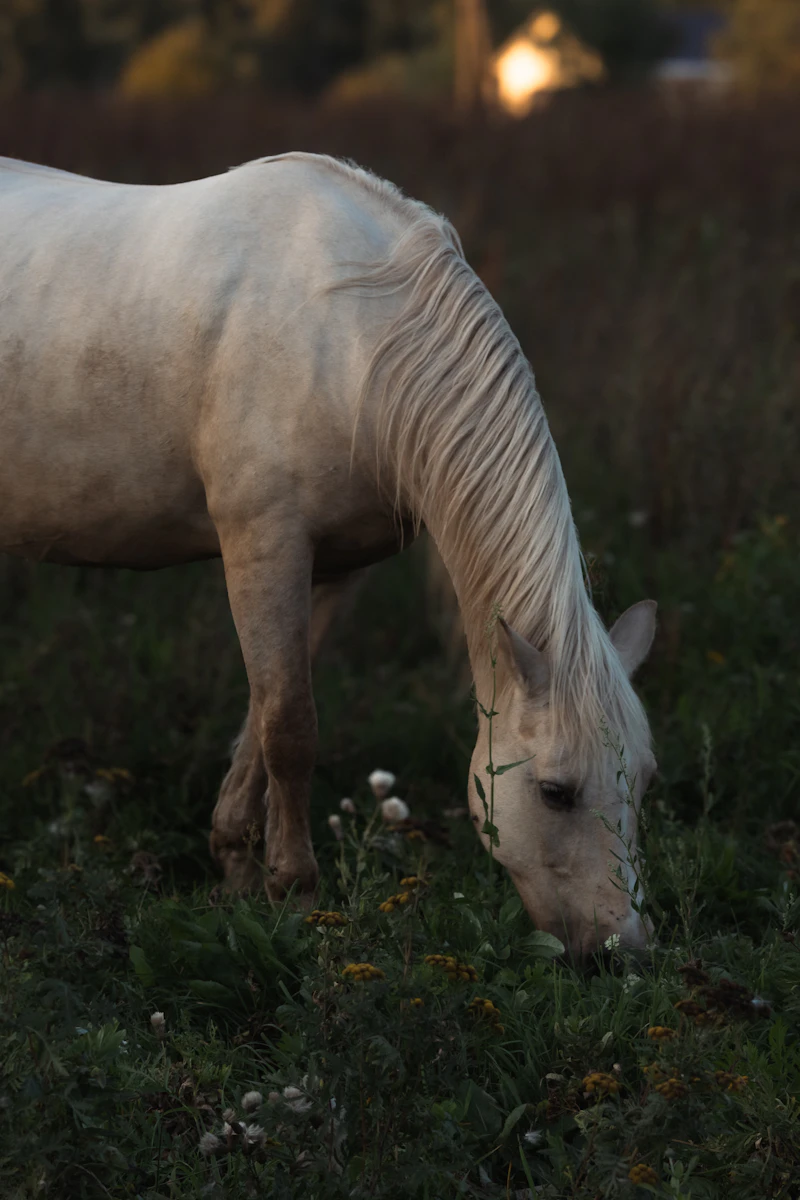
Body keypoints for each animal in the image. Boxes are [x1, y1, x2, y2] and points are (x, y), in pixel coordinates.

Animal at [0, 151, 657, 963]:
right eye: (555, 793)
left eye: (645, 782)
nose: (625, 949)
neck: (351, 342)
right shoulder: (263, 545)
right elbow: (289, 726)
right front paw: (294, 892)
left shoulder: (335, 569)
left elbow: (263, 713)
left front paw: (237, 871)